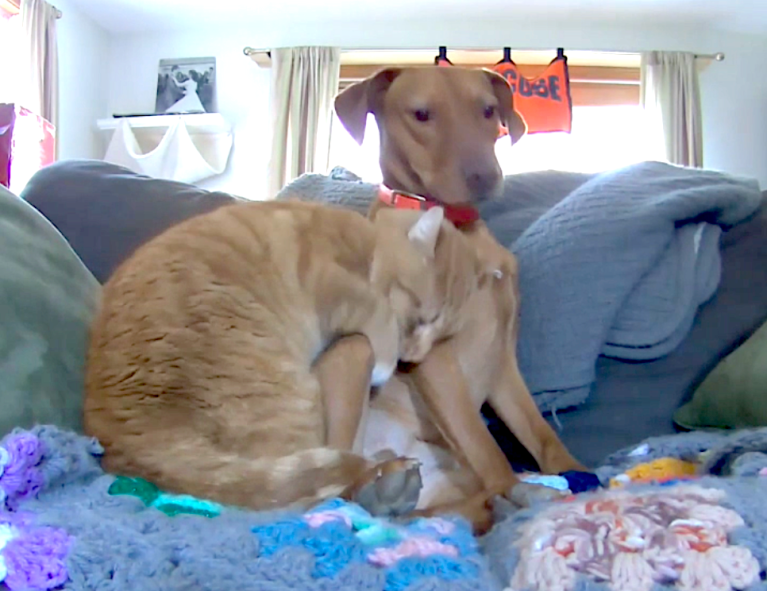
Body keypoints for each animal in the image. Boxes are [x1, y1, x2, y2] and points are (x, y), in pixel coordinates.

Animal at [85, 199, 486, 512]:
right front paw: (385, 361)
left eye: (441, 337)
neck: (363, 244)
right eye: (423, 319)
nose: (412, 358)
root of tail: (132, 435)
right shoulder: (332, 283)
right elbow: (378, 314)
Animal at [332, 67, 584, 528]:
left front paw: (577, 473)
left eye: (487, 109)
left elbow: (540, 433)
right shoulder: (434, 357)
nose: (484, 177)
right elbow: (485, 445)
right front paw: (518, 491)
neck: (455, 228)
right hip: (350, 355)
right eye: (420, 114)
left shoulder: (502, 362)